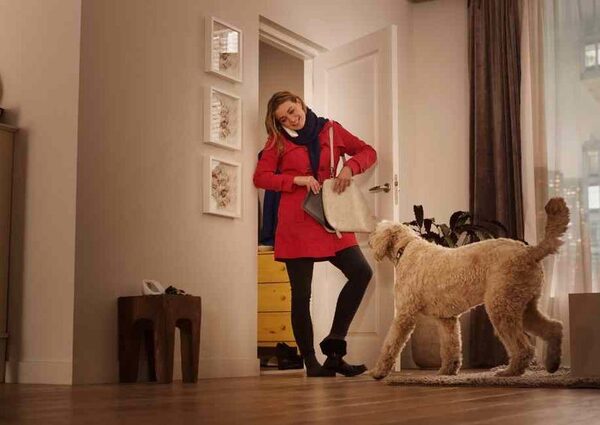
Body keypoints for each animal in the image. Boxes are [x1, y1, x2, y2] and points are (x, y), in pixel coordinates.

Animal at [368, 198, 569, 378]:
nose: (368, 242)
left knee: (524, 347)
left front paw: (378, 372)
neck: (406, 248)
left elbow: (390, 345)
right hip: (524, 306)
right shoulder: (447, 319)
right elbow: (451, 347)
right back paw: (552, 364)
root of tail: (530, 251)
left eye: (376, 232)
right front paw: (447, 371)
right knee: (554, 328)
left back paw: (510, 372)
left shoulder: (405, 315)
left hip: (501, 307)